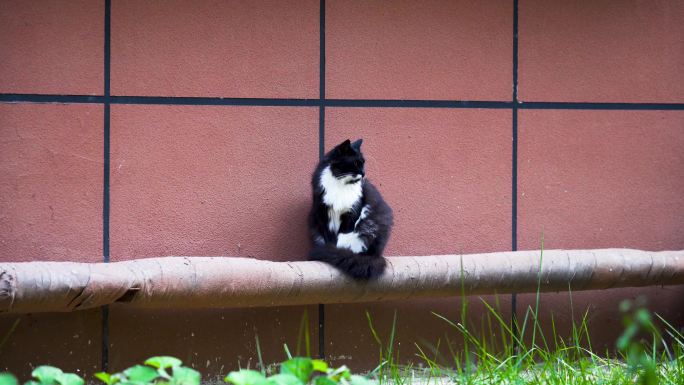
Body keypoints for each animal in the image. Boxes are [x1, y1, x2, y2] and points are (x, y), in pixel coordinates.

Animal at [308, 138, 392, 280]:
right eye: (356, 162)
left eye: (364, 163)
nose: (364, 173)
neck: (340, 183)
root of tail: (377, 255)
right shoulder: (323, 213)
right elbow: (329, 238)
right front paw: (330, 253)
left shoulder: (352, 213)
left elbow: (342, 237)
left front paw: (337, 254)